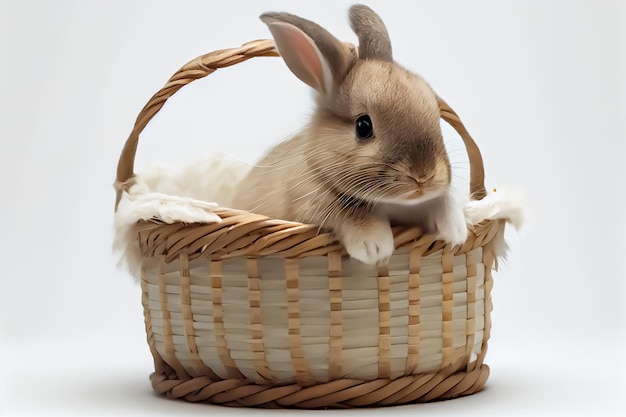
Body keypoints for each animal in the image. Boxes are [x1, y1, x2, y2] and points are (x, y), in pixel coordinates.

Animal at [232, 4, 466, 264]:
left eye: (436, 116)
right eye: (363, 126)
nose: (423, 176)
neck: (393, 203)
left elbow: (442, 200)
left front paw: (456, 231)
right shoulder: (310, 206)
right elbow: (352, 213)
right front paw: (374, 249)